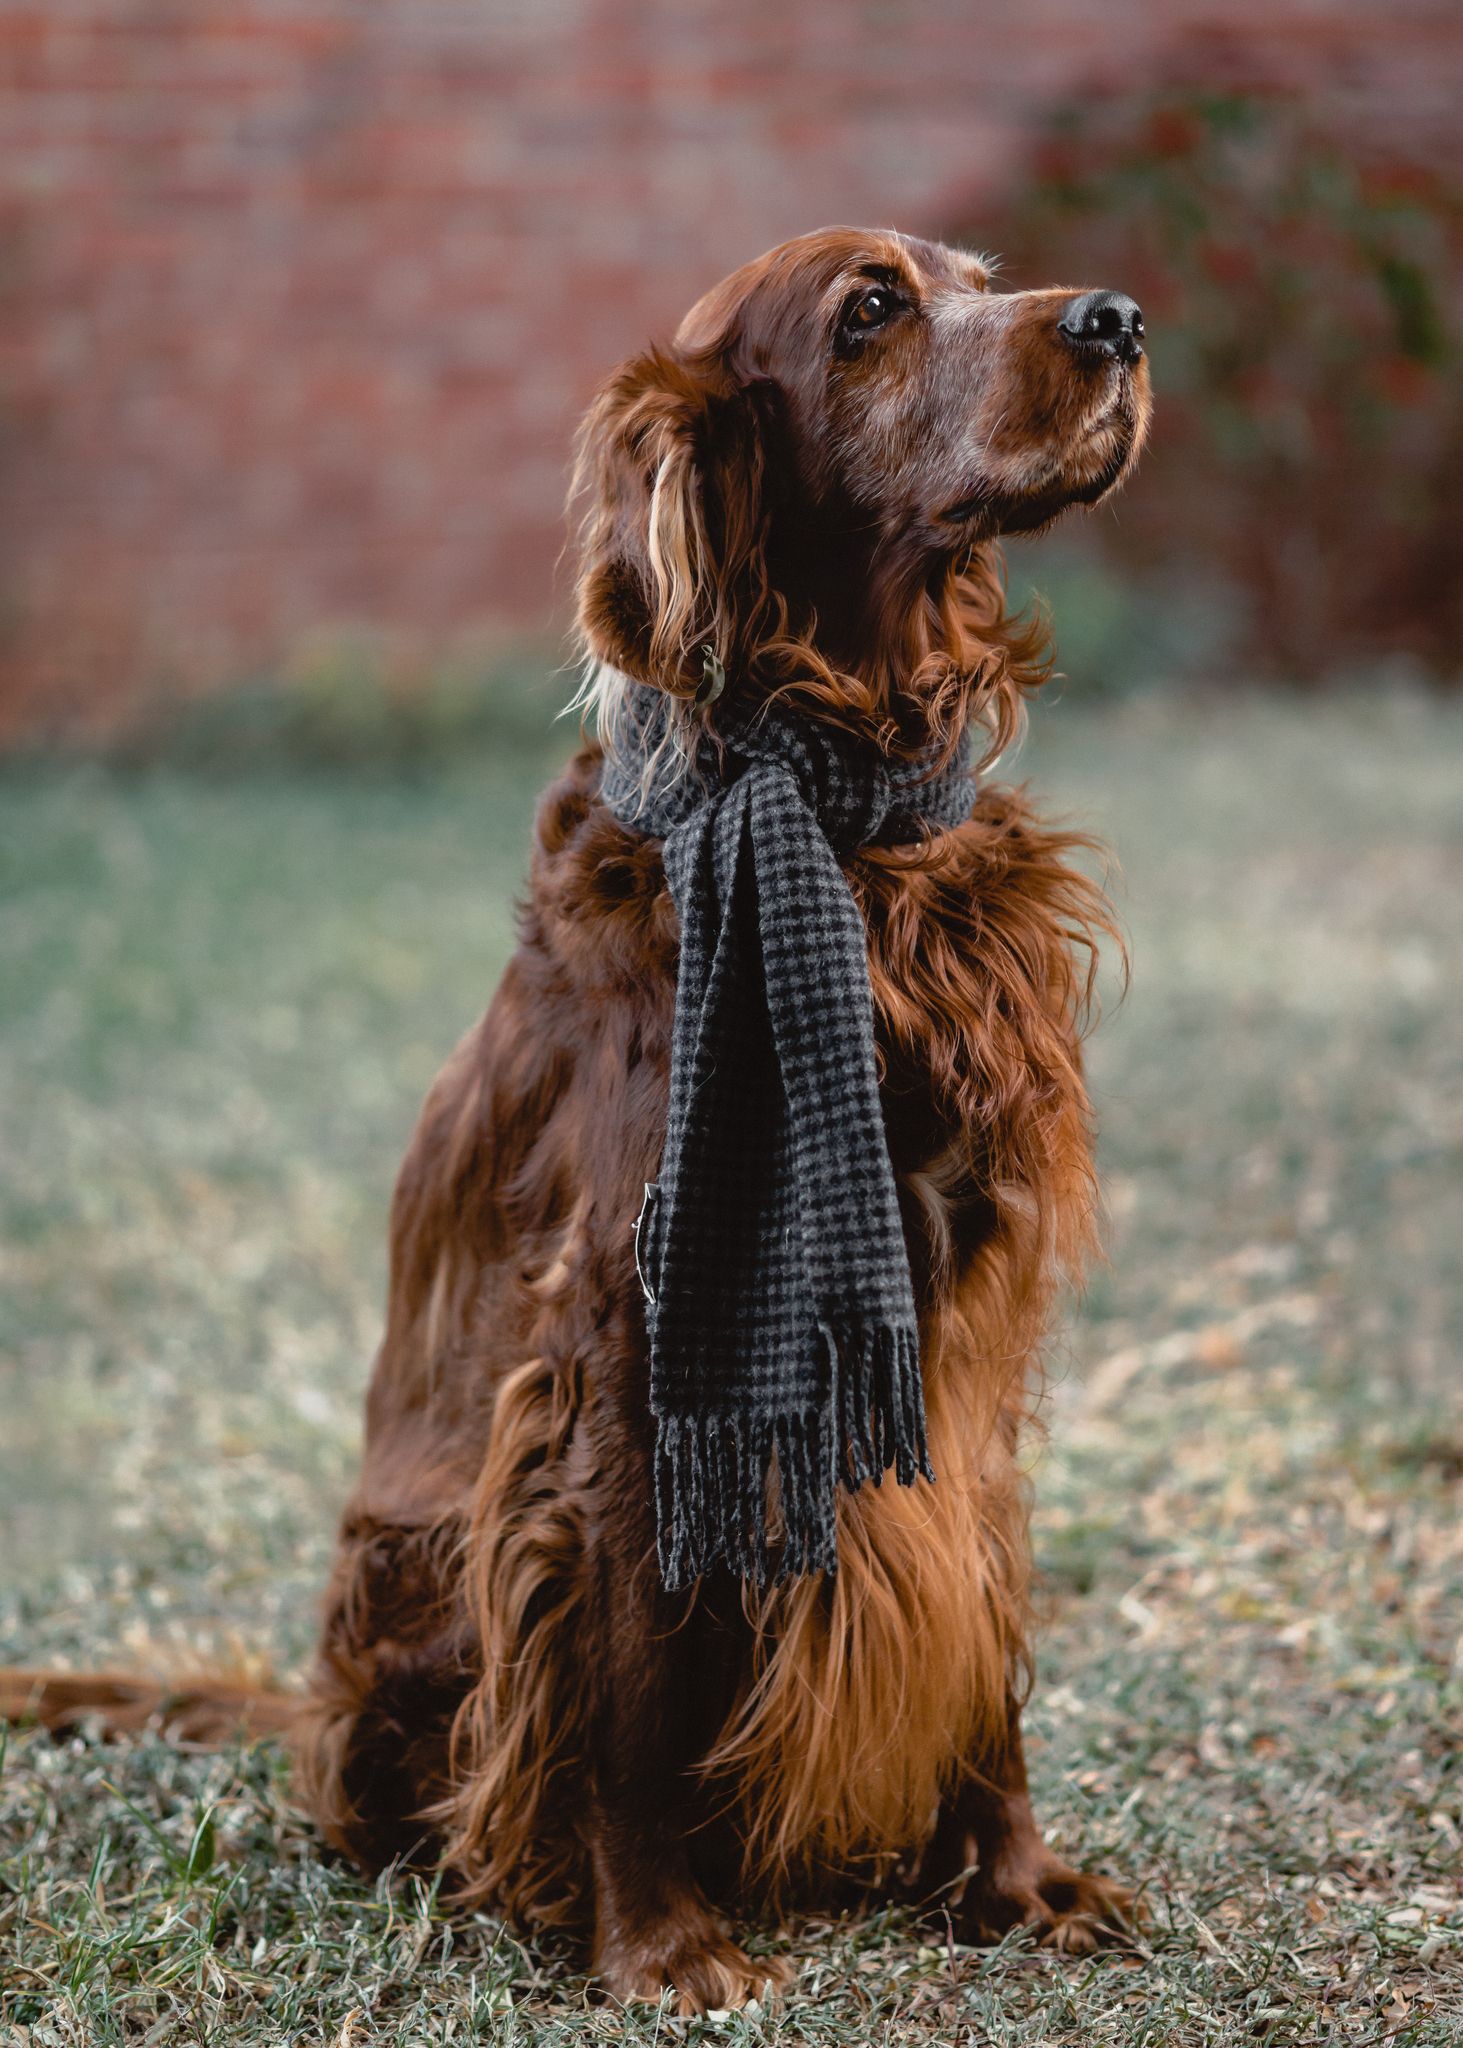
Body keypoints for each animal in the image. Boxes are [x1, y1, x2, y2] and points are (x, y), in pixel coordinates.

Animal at [2, 228, 1147, 2015]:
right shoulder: (627, 1346)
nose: (1117, 321)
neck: (837, 805)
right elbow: (626, 1681)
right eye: (868, 311)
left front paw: (1014, 1880)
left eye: (983, 276)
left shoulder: (963, 1321)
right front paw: (658, 1944)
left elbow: (984, 1615)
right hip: (412, 1579)